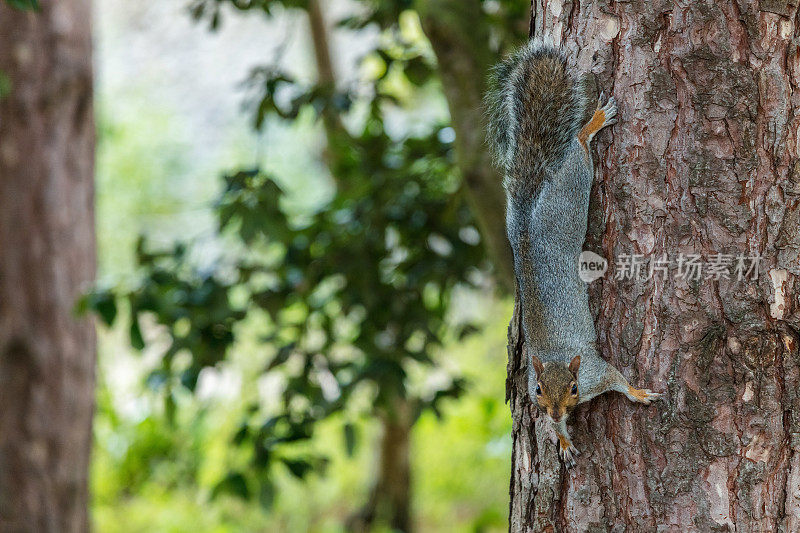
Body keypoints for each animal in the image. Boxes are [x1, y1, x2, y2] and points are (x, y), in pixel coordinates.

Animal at [488, 40, 664, 466]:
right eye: (536, 391)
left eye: (572, 388)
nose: (553, 412)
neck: (556, 359)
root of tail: (526, 224)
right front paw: (563, 439)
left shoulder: (595, 374)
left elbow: (617, 380)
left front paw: (638, 393)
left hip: (570, 193)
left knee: (580, 150)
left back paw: (592, 124)